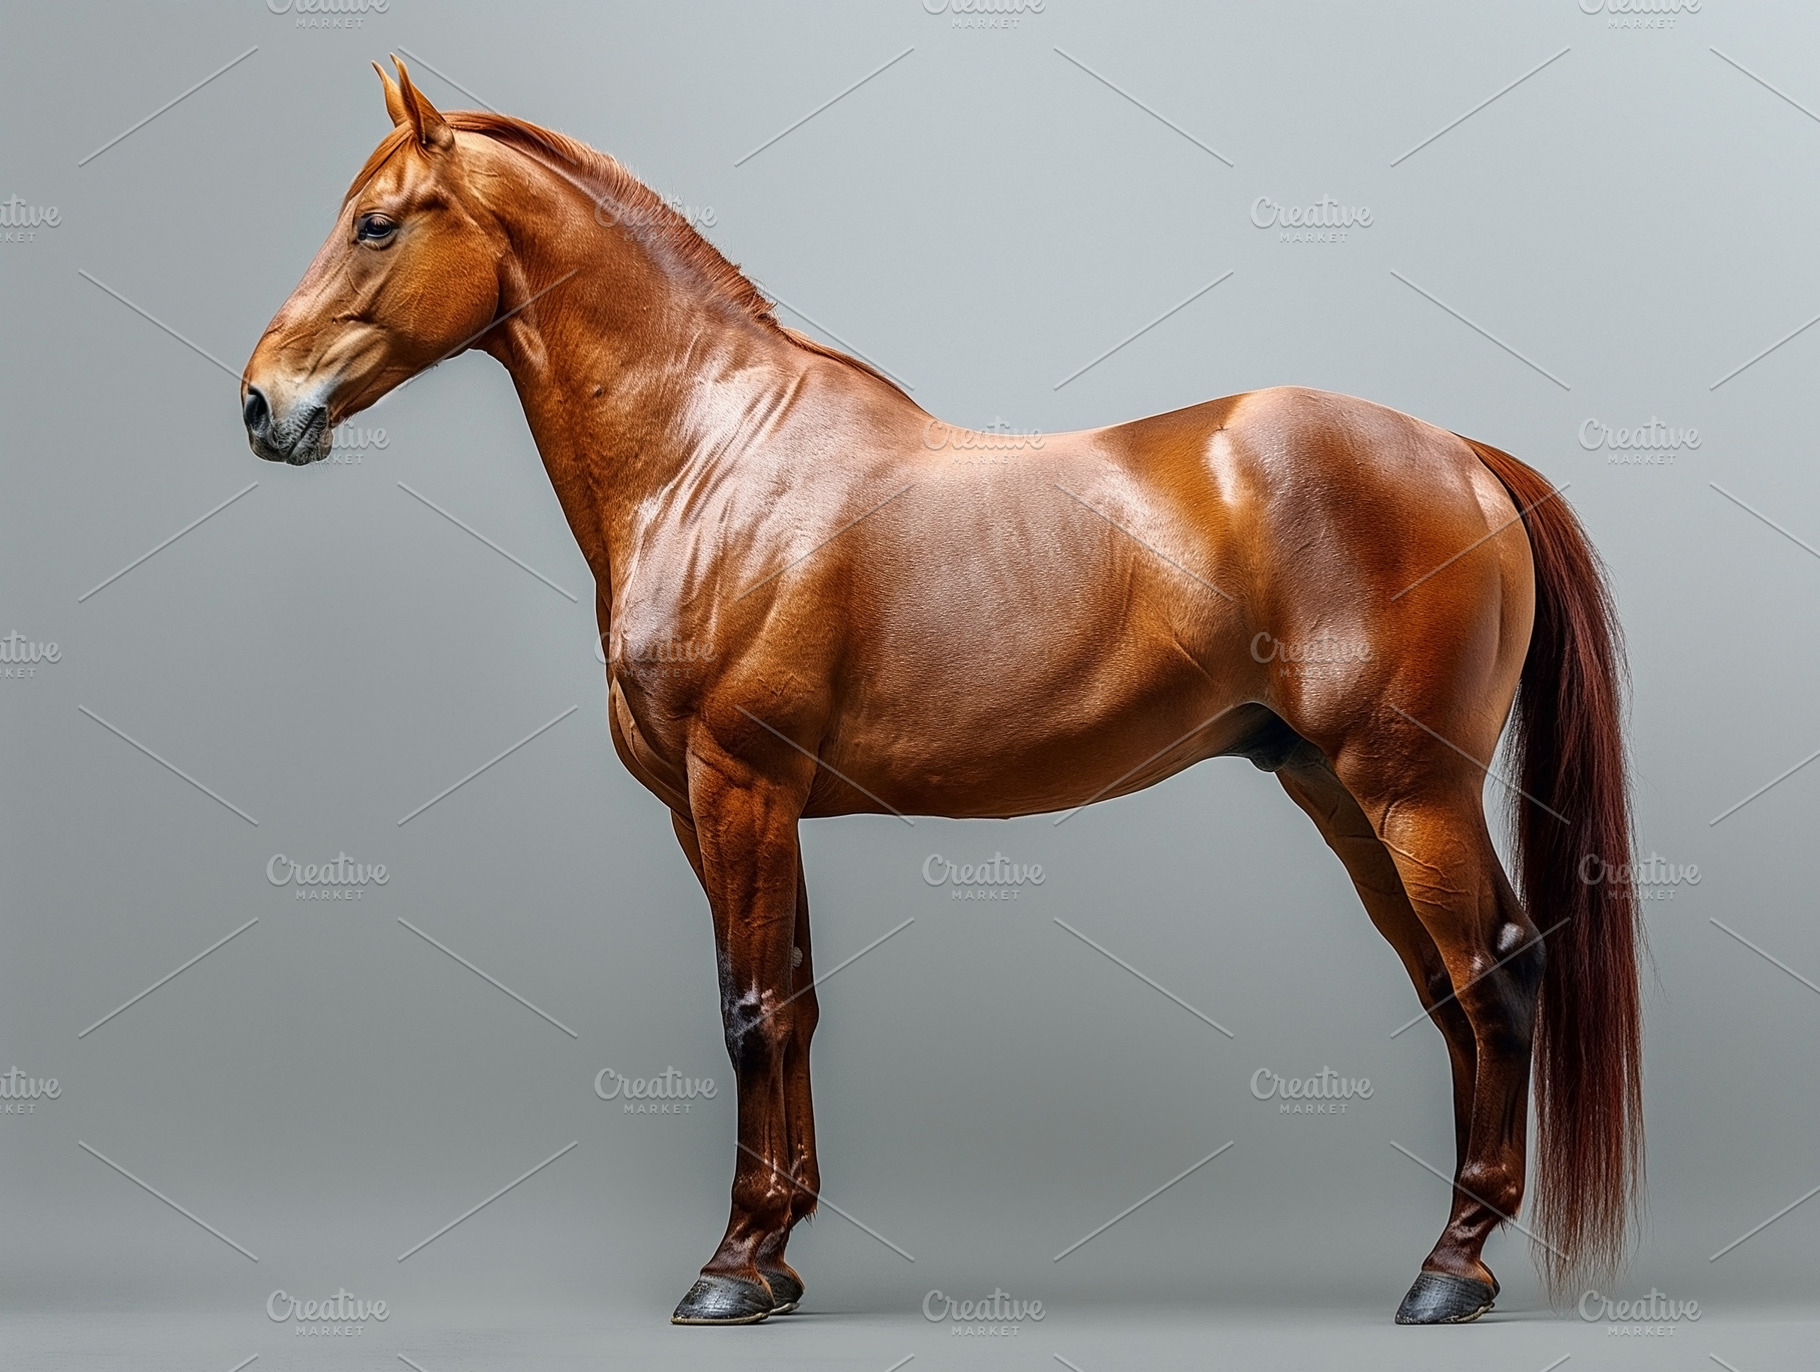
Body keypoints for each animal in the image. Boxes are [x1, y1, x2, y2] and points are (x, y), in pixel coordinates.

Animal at [242, 58, 1642, 1326]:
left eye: (376, 222)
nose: (263, 404)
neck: (710, 455)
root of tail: (1458, 454)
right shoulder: (726, 812)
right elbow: (795, 1004)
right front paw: (779, 1255)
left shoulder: (735, 786)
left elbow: (747, 1011)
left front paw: (728, 1266)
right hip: (1340, 797)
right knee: (1446, 991)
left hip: (1411, 792)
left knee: (1497, 973)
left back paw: (1449, 1268)